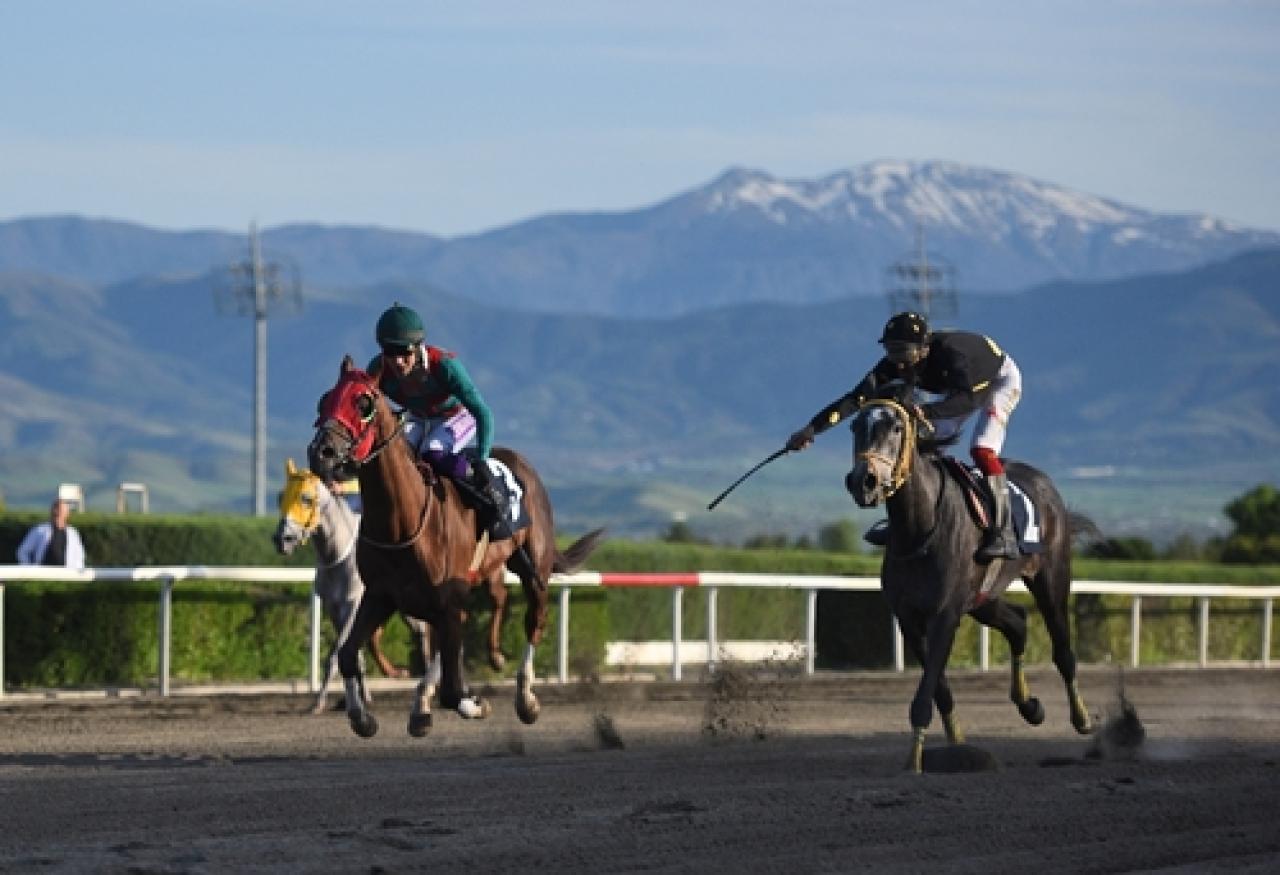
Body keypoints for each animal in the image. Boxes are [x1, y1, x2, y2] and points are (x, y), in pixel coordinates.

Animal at [272, 460, 432, 716]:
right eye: (280, 497)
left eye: (306, 498)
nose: (282, 539)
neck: (338, 557)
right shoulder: (333, 608)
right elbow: (354, 653)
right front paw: (362, 698)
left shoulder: (352, 607)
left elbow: (334, 656)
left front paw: (318, 703)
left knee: (423, 634)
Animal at [312, 355, 606, 736]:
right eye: (324, 400)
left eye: (363, 402)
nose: (321, 452)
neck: (402, 520)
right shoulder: (381, 594)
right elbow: (348, 654)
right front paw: (362, 717)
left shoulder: (447, 601)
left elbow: (453, 690)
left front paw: (474, 703)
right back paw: (430, 700)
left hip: (533, 568)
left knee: (534, 620)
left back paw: (525, 699)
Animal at [844, 396, 1095, 772]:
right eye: (856, 426)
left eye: (896, 427)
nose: (864, 481)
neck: (919, 530)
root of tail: (1043, 482)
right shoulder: (909, 619)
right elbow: (939, 689)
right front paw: (956, 743)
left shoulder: (945, 615)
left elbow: (925, 694)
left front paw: (914, 762)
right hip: (982, 598)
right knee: (1018, 623)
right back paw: (1029, 705)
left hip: (1051, 579)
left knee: (1063, 651)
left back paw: (1082, 718)